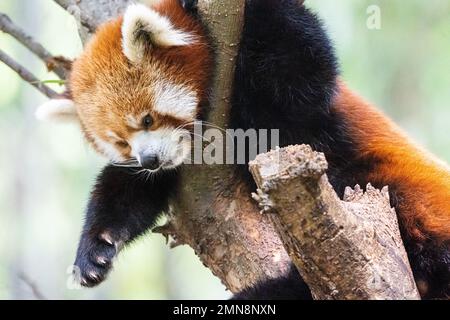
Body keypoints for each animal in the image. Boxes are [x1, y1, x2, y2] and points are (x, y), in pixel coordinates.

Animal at [37, 0, 448, 300]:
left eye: (148, 119)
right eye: (121, 142)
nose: (149, 159)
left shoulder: (293, 104)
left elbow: (301, 69)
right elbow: (127, 187)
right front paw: (95, 249)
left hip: (402, 191)